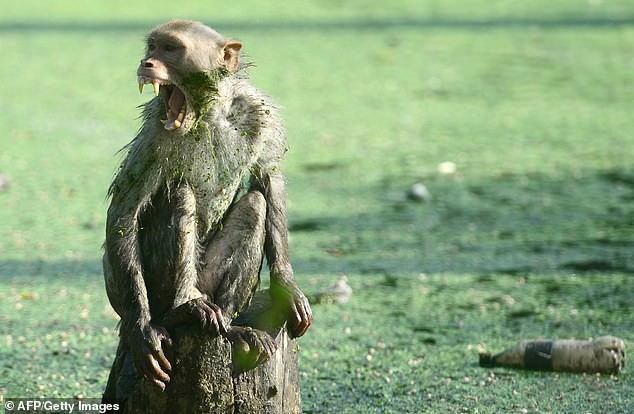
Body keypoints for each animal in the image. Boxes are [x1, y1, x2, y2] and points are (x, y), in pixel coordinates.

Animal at [101, 21, 312, 396]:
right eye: (152, 47)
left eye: (171, 48)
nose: (146, 62)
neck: (209, 114)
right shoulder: (156, 129)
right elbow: (126, 210)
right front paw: (142, 331)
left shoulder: (259, 113)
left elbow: (268, 180)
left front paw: (287, 286)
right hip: (154, 290)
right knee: (179, 193)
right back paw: (182, 309)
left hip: (209, 278)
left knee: (255, 204)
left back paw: (230, 326)